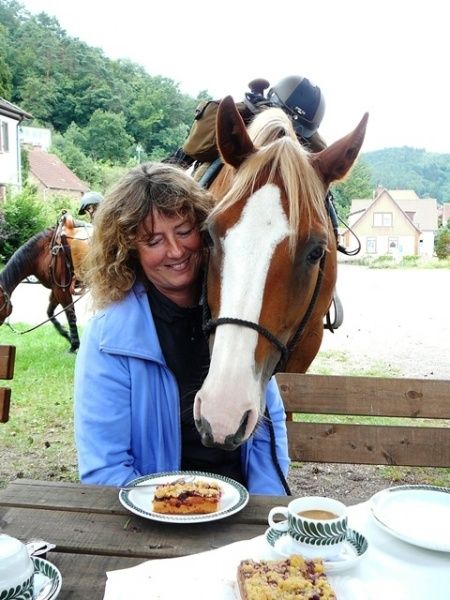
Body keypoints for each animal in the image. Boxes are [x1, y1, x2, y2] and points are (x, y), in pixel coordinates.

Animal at [0, 213, 92, 352]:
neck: (43, 253)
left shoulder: (62, 289)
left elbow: (70, 314)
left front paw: (74, 345)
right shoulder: (55, 289)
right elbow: (50, 313)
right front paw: (66, 335)